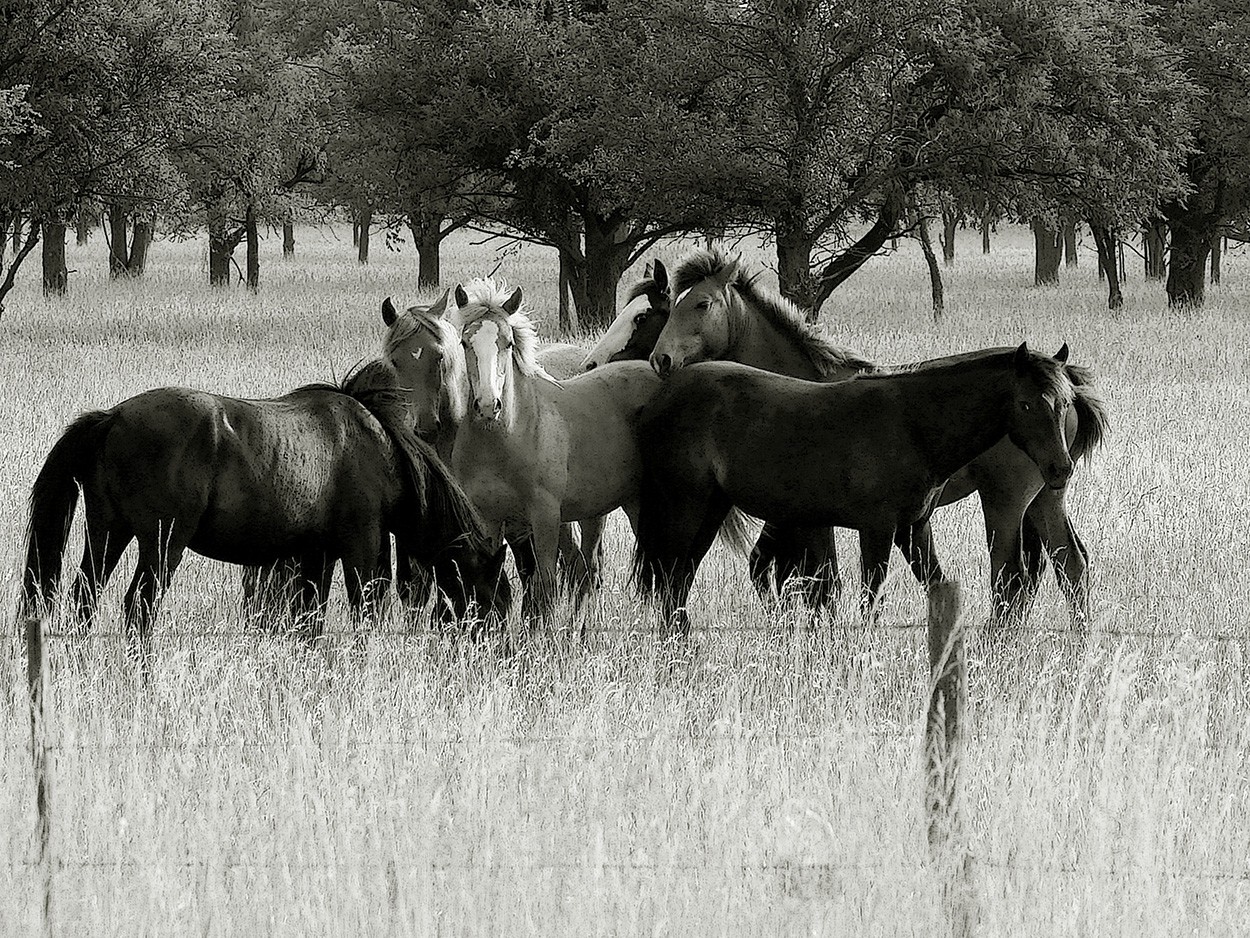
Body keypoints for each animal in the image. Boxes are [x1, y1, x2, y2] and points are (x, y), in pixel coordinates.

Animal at [18, 362, 507, 675]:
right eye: (492, 589)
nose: (497, 648)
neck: (378, 446)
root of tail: (113, 417)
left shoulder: (316, 555)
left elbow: (310, 618)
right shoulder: (361, 548)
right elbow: (365, 612)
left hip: (108, 532)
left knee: (85, 597)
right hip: (161, 544)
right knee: (138, 606)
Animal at [437, 282, 660, 627]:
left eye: (508, 342)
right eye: (465, 341)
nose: (488, 406)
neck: (508, 438)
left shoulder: (544, 517)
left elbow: (545, 586)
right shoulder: (489, 520)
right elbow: (495, 582)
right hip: (602, 508)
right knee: (589, 571)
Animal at [635, 345, 1075, 640]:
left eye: (1064, 403)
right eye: (1026, 404)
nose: (1060, 469)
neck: (912, 425)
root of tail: (660, 396)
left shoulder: (913, 529)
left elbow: (934, 585)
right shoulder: (876, 529)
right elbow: (870, 595)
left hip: (710, 509)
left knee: (679, 576)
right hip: (687, 507)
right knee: (672, 575)